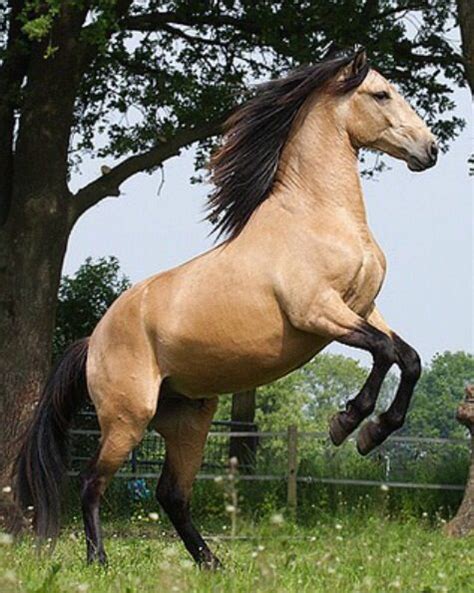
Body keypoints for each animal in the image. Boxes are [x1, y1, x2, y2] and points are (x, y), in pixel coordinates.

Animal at [13, 48, 436, 568]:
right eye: (381, 94)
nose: (430, 149)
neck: (320, 216)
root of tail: (94, 339)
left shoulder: (364, 307)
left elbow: (407, 358)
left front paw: (370, 430)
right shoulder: (319, 313)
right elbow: (385, 352)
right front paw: (350, 424)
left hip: (188, 420)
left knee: (171, 494)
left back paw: (211, 563)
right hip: (126, 418)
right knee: (92, 482)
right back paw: (100, 562)